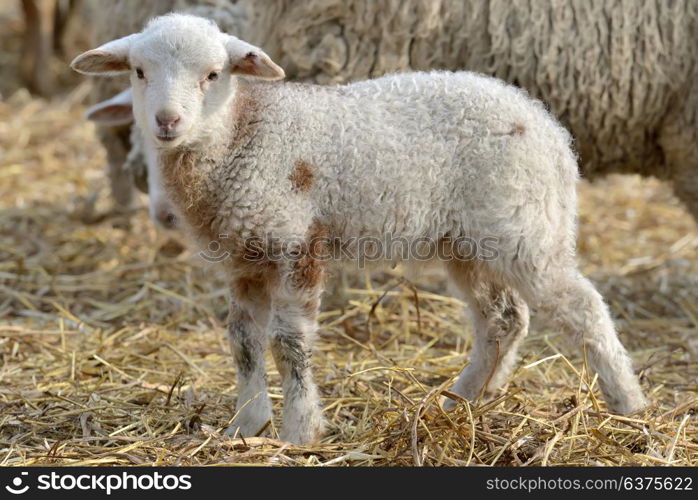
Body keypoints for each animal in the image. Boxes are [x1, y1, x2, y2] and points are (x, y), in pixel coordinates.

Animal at [72, 14, 648, 446]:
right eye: (138, 71)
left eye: (213, 74)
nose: (167, 122)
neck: (241, 133)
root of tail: (547, 124)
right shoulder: (244, 254)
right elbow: (243, 340)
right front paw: (246, 424)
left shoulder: (297, 241)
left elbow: (288, 342)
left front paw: (299, 431)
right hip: (467, 241)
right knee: (503, 319)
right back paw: (462, 401)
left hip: (525, 228)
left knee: (582, 307)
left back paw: (628, 404)